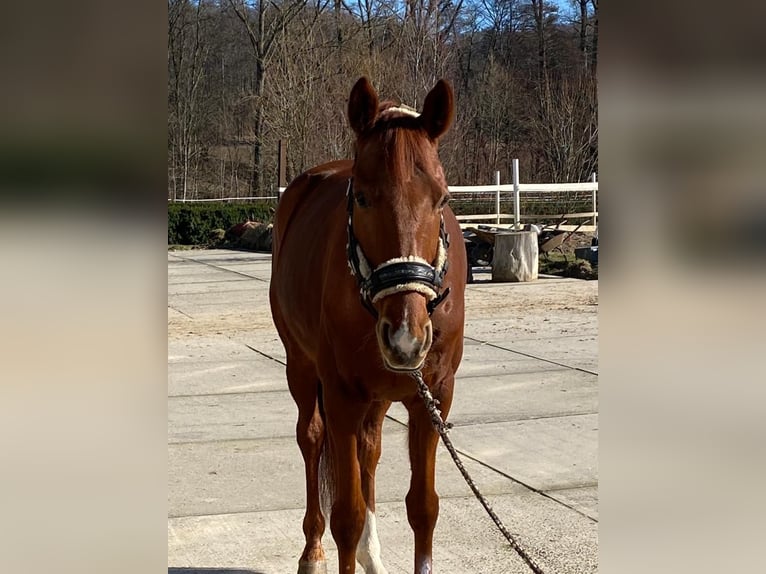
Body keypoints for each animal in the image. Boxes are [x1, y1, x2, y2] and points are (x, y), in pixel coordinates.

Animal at [269, 77, 466, 574]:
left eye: (442, 198)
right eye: (361, 197)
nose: (405, 338)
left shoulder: (433, 398)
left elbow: (423, 507)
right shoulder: (342, 397)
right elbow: (347, 515)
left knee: (370, 449)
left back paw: (370, 555)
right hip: (302, 369)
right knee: (311, 439)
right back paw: (312, 553)